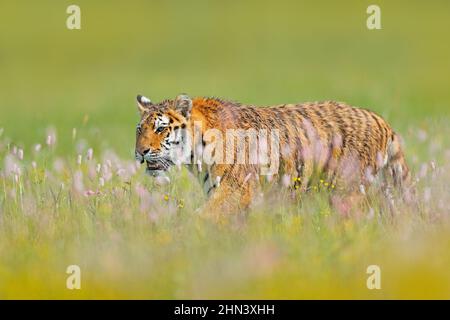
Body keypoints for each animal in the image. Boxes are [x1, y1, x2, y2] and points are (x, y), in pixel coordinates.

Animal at [134, 94, 412, 216]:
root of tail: (379, 119)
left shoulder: (234, 191)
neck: (196, 158)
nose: (140, 152)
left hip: (348, 190)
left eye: (160, 128)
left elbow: (202, 217)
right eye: (140, 130)